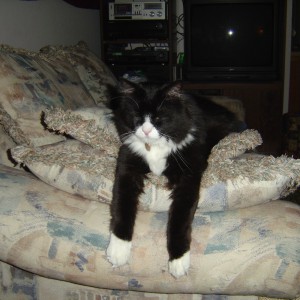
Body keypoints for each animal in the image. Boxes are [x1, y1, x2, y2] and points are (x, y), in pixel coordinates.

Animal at [105, 78, 239, 278]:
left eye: (158, 118)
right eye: (137, 116)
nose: (146, 130)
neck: (153, 149)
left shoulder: (188, 176)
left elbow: (180, 218)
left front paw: (178, 260)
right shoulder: (127, 166)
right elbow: (122, 204)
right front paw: (118, 250)